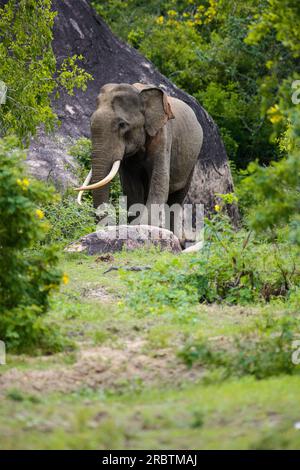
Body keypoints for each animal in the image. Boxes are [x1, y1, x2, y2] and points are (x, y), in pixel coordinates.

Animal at [75, 81, 204, 223]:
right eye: (90, 122)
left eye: (122, 124)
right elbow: (131, 189)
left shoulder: (163, 136)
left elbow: (159, 184)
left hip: (192, 161)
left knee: (176, 200)